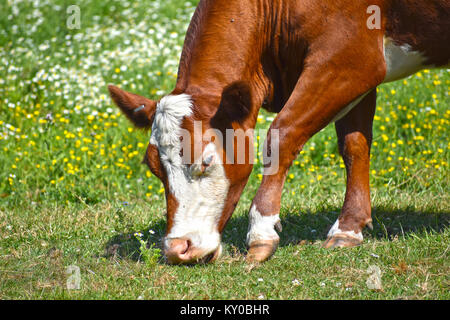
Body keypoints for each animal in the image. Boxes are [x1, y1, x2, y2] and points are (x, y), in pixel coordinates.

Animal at [109, 0, 450, 264]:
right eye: (154, 168)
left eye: (206, 161)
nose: (178, 249)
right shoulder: (362, 69)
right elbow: (354, 145)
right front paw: (349, 227)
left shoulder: (350, 58)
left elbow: (281, 134)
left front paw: (261, 231)